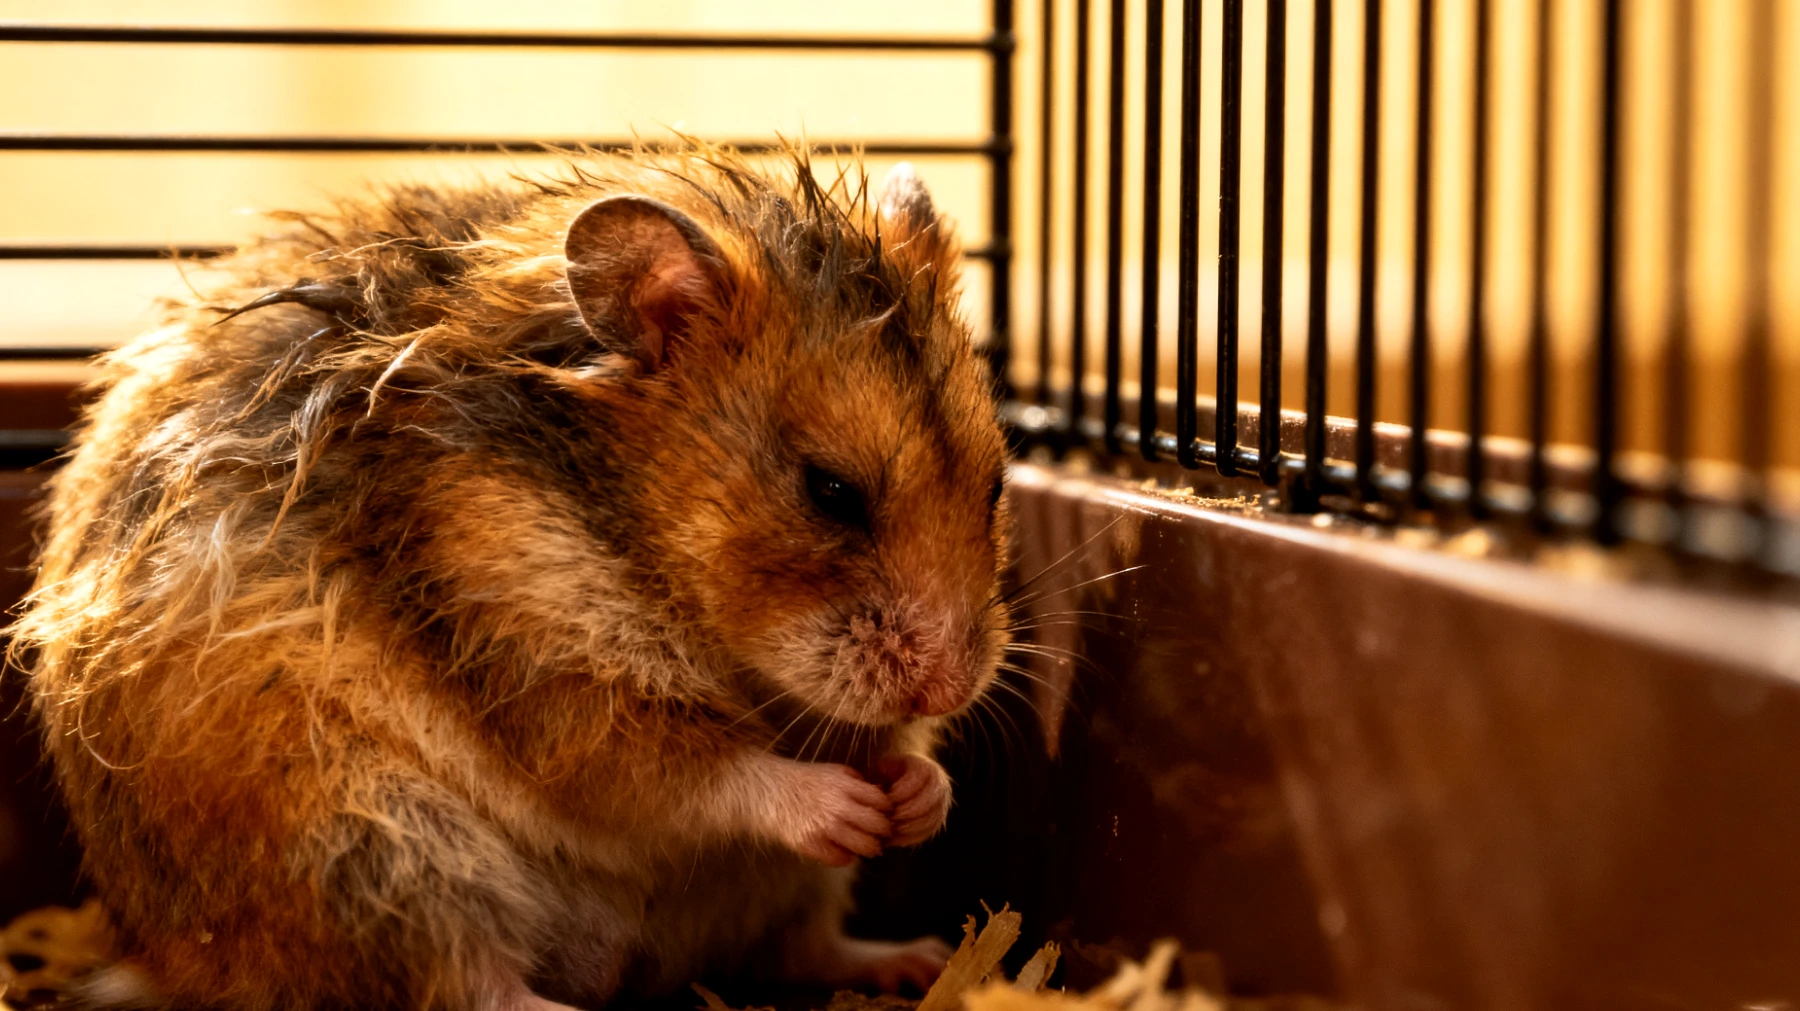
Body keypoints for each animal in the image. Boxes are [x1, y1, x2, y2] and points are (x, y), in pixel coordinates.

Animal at [9, 145, 1011, 1011]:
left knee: (798, 948)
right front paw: (847, 803)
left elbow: (888, 750)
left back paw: (915, 958)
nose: (951, 685)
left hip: (764, 891)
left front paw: (916, 796)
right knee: (465, 984)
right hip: (370, 853)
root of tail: (153, 961)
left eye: (999, 484)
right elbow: (693, 769)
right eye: (830, 491)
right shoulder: (540, 662)